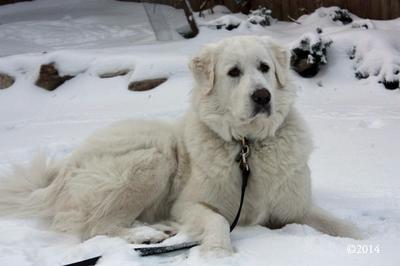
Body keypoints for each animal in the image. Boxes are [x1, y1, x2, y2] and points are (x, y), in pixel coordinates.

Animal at [0, 35, 362, 256]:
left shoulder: (296, 208)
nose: (262, 96)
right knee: (94, 227)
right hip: (152, 158)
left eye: (264, 68)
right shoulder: (191, 204)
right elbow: (217, 220)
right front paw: (218, 253)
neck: (248, 146)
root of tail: (65, 169)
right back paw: (144, 236)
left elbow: (343, 226)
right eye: (233, 72)